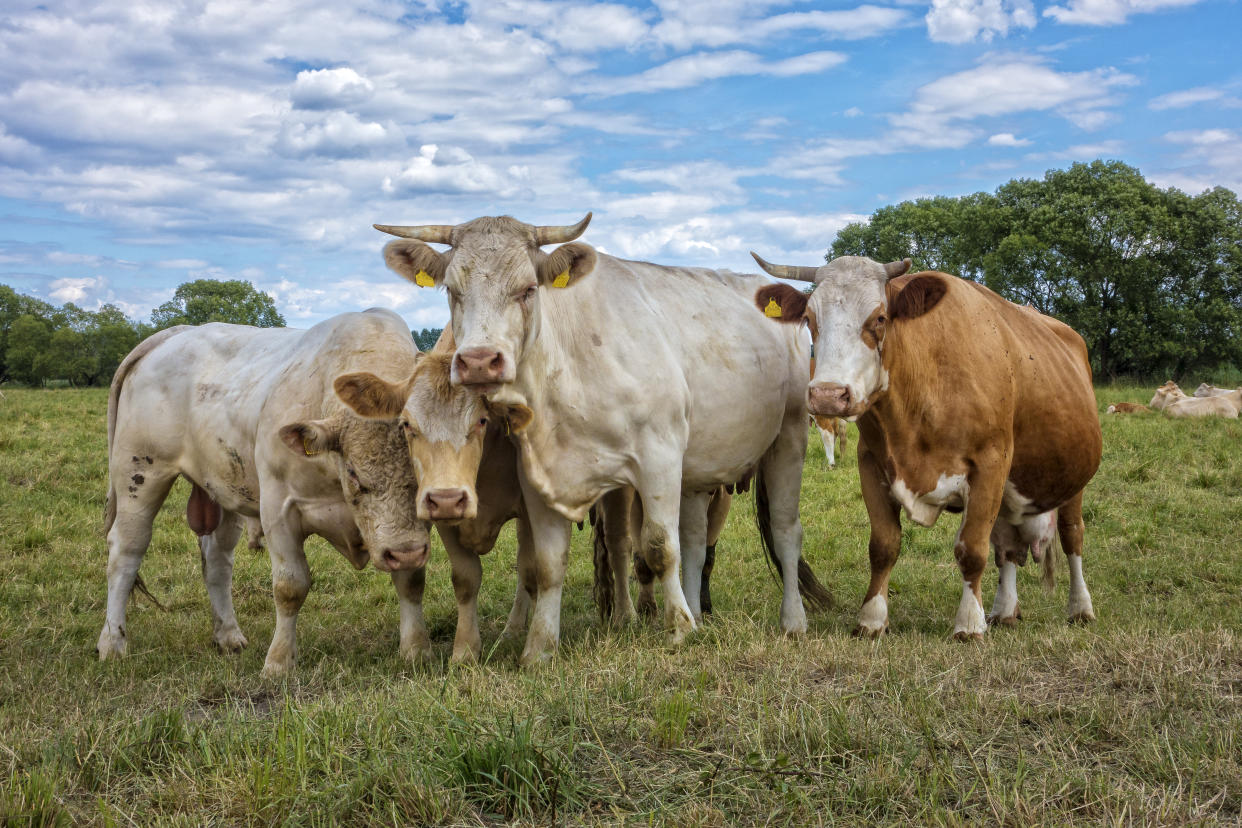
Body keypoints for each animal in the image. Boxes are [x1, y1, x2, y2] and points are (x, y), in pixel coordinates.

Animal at [95, 310, 432, 680]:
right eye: (354, 472)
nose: (403, 552)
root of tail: (177, 333)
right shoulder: (279, 508)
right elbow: (290, 587)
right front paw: (279, 661)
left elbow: (411, 580)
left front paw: (415, 649)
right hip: (139, 472)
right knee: (126, 552)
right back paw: (112, 642)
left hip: (222, 487)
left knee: (217, 560)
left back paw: (227, 635)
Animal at [367, 213, 829, 665]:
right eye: (452, 289)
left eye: (528, 289)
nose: (479, 361)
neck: (570, 369)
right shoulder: (540, 476)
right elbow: (548, 564)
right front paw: (539, 648)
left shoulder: (660, 456)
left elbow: (660, 545)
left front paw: (679, 629)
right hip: (701, 471)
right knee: (697, 540)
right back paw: (700, 611)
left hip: (789, 439)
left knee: (785, 530)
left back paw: (791, 620)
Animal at [750, 253, 1102, 640]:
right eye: (810, 319)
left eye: (880, 318)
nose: (828, 394)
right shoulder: (871, 463)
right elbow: (883, 546)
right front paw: (872, 618)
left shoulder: (991, 463)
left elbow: (972, 550)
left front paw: (969, 623)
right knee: (1007, 546)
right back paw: (1004, 609)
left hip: (1071, 480)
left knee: (1072, 536)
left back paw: (1080, 607)